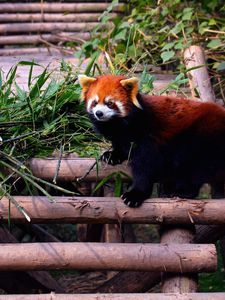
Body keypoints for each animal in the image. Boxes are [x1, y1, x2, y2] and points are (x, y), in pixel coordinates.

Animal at [78, 74, 225, 207]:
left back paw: (182, 192)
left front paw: (135, 194)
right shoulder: (120, 135)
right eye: (95, 102)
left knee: (192, 168)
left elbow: (145, 166)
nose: (99, 113)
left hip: (201, 136)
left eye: (110, 103)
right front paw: (113, 155)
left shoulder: (148, 135)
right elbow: (120, 146)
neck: (120, 124)